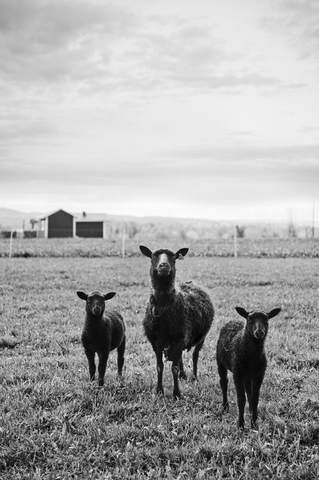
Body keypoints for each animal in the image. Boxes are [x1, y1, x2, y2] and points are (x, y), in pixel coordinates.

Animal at [140, 246, 215, 400]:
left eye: (174, 257)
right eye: (153, 256)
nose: (164, 266)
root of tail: (190, 282)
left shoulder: (179, 338)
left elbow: (173, 368)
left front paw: (177, 394)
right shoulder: (156, 341)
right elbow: (159, 367)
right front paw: (159, 391)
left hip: (201, 337)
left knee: (195, 356)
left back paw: (194, 377)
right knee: (179, 357)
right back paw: (183, 375)